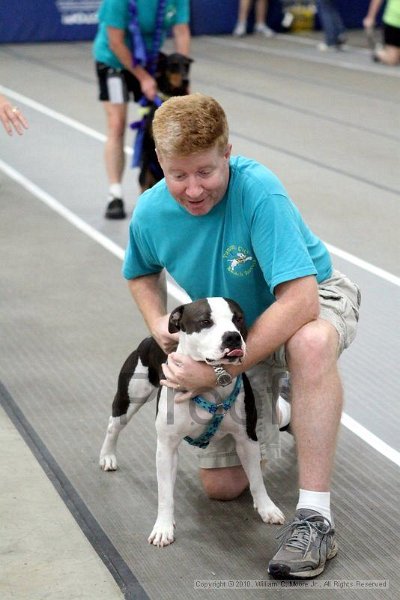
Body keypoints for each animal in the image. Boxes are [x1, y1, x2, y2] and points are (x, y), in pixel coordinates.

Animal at [100, 298, 284, 548]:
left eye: (238, 319)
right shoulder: (166, 447)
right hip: (130, 398)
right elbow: (165, 495)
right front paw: (163, 528)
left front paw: (267, 508)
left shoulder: (247, 440)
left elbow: (256, 479)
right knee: (114, 425)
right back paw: (108, 456)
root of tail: (149, 339)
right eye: (205, 321)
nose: (233, 337)